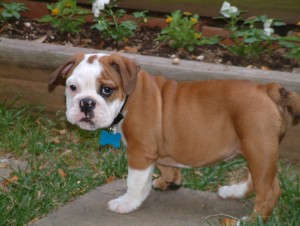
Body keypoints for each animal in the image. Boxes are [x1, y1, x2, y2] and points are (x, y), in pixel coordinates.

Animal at [49, 52, 300, 222]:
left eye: (106, 90)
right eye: (72, 87)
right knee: (260, 179)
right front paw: (167, 182)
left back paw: (251, 220)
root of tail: (268, 88)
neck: (129, 97)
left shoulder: (140, 152)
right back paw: (233, 192)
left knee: (269, 190)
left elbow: (135, 182)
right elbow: (166, 165)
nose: (86, 103)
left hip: (258, 147)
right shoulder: (157, 148)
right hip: (256, 148)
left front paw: (128, 203)